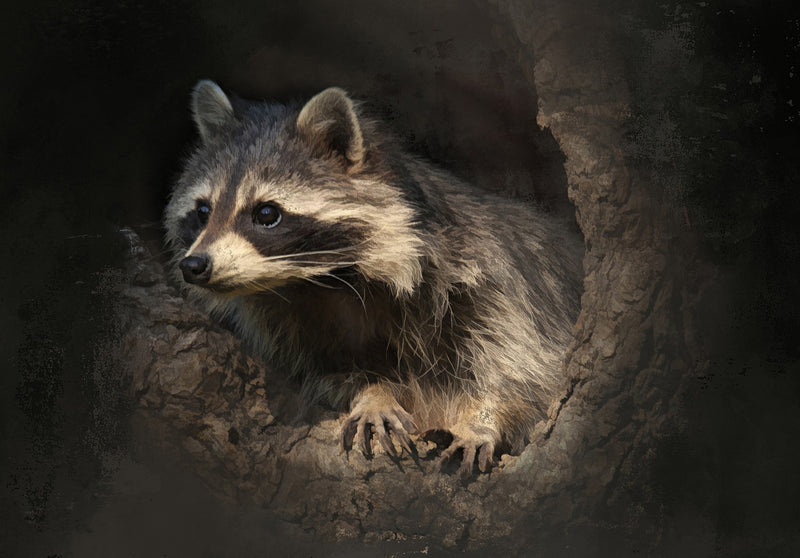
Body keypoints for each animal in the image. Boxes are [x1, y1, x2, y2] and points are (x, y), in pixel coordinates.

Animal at [164, 81, 582, 476]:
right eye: (203, 211)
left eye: (266, 213)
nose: (195, 265)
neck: (323, 281)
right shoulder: (290, 328)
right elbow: (329, 373)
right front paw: (373, 393)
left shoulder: (495, 278)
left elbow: (525, 367)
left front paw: (482, 420)